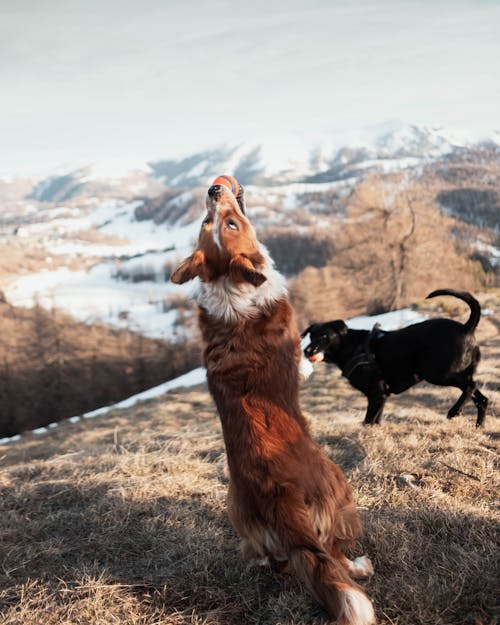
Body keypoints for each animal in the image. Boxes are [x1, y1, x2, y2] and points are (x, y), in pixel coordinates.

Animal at [171, 177, 376, 624]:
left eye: (218, 223)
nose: (214, 189)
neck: (231, 288)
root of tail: (276, 491)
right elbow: (304, 363)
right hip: (342, 493)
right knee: (332, 554)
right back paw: (359, 567)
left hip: (241, 516)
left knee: (279, 561)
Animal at [300, 288, 488, 426]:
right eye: (311, 336)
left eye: (324, 336)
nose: (307, 351)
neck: (352, 346)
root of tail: (466, 328)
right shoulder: (381, 396)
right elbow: (375, 421)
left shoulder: (376, 393)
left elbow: (368, 420)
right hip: (455, 373)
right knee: (482, 399)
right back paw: (478, 427)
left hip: (437, 373)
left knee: (471, 386)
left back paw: (454, 411)